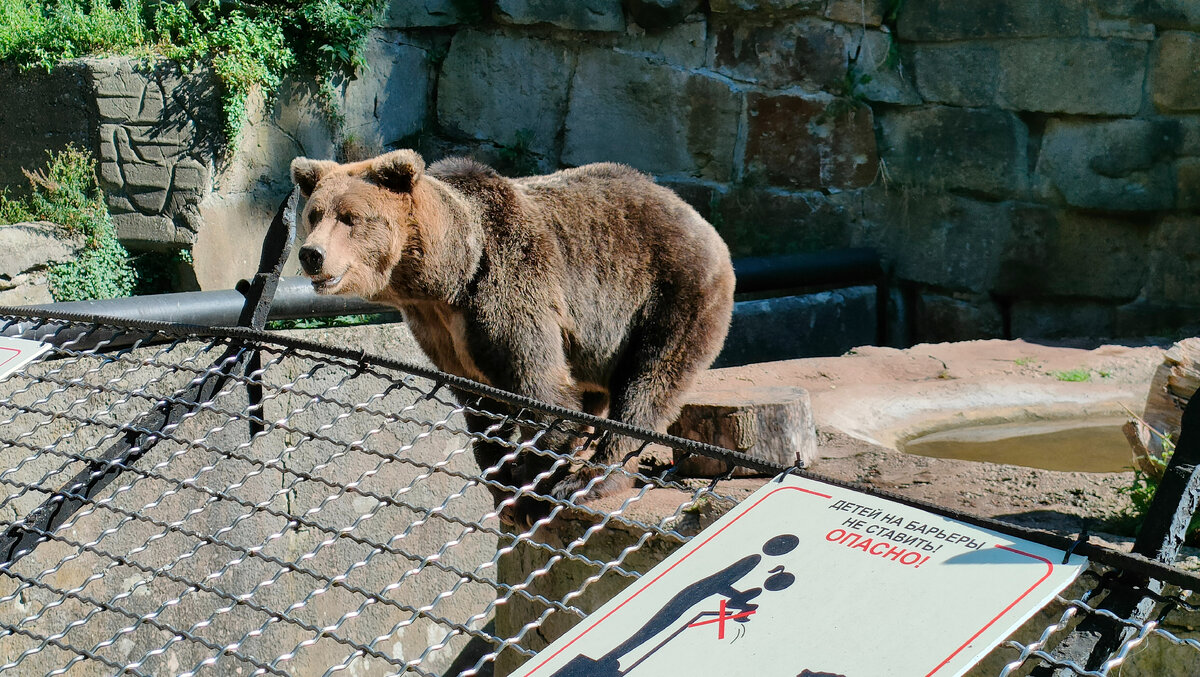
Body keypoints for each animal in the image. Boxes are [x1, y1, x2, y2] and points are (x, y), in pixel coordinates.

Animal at [290, 150, 734, 525]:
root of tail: (699, 219)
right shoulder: (442, 335)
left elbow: (545, 395)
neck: (445, 279)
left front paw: (531, 494)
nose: (312, 254)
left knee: (647, 388)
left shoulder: (509, 291)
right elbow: (482, 407)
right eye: (315, 214)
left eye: (350, 217)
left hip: (669, 298)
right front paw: (500, 480)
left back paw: (590, 479)